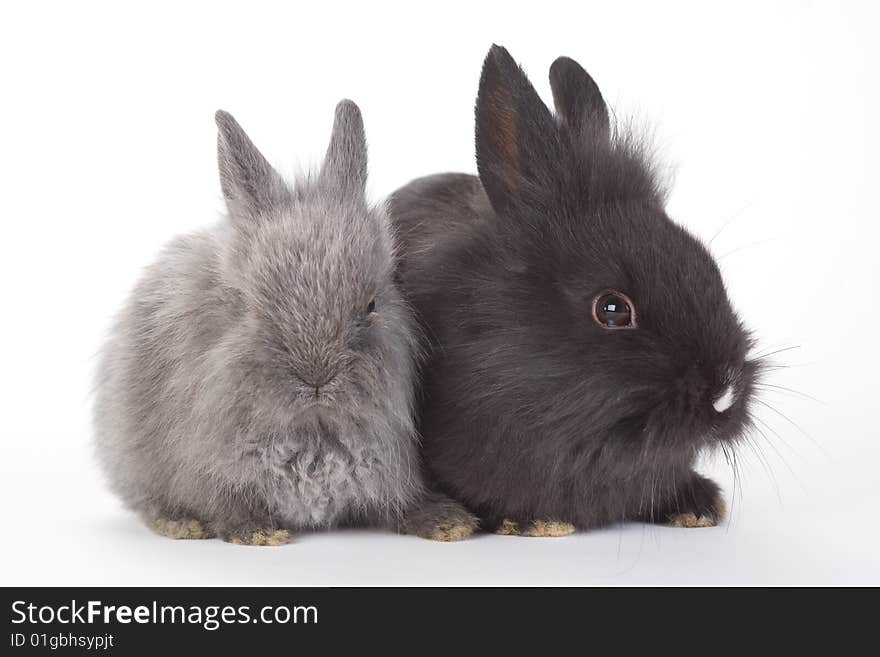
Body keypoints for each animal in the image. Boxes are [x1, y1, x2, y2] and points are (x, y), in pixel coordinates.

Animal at [93, 102, 478, 544]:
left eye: (371, 304)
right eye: (251, 306)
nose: (317, 380)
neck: (312, 432)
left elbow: (404, 504)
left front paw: (449, 523)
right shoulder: (204, 468)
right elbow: (223, 504)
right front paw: (258, 533)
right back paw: (180, 525)